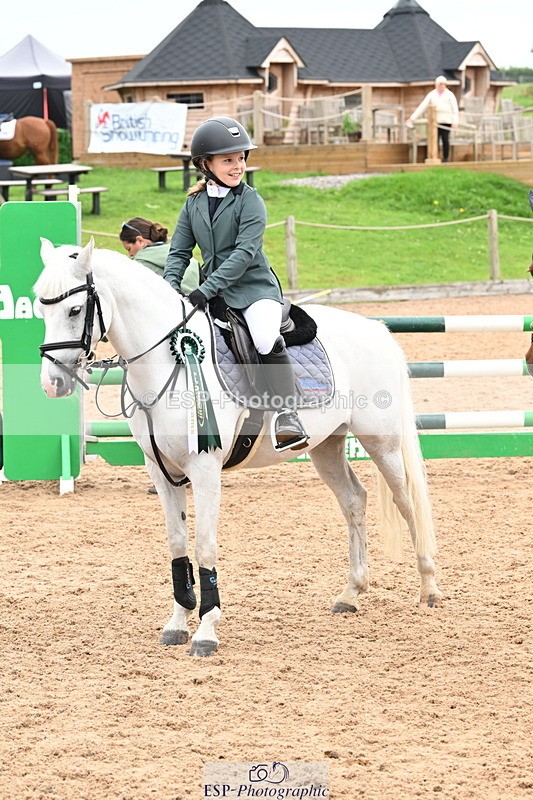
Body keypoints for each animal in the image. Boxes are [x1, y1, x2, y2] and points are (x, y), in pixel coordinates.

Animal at [35, 238, 442, 657]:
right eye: (40, 307)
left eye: (75, 309)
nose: (52, 383)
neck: (167, 361)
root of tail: (375, 329)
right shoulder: (161, 472)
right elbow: (177, 543)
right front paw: (178, 623)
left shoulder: (204, 469)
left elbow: (204, 546)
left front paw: (206, 631)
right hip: (326, 445)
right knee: (354, 501)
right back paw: (351, 593)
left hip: (382, 443)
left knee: (407, 502)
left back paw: (428, 588)